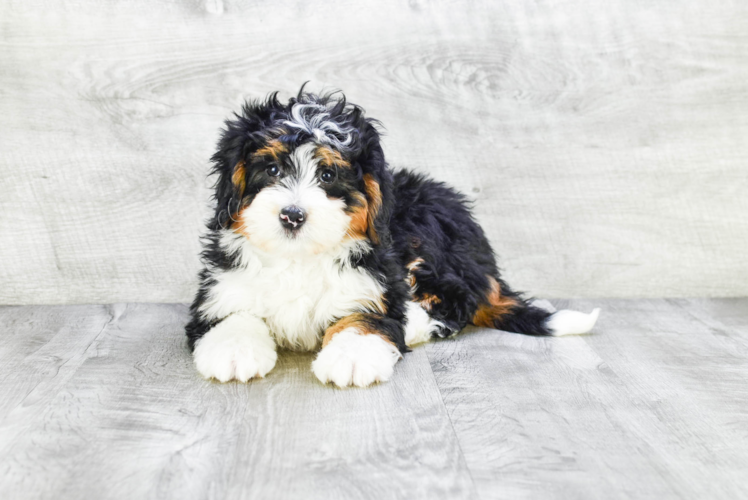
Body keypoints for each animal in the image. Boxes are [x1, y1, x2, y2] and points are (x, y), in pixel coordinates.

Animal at [187, 89, 600, 386]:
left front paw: (352, 356)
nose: (292, 215)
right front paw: (233, 351)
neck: (300, 257)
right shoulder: (223, 286)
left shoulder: (374, 283)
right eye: (271, 169)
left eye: (327, 175)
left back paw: (415, 322)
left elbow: (365, 318)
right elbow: (232, 314)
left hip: (428, 235)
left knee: (455, 300)